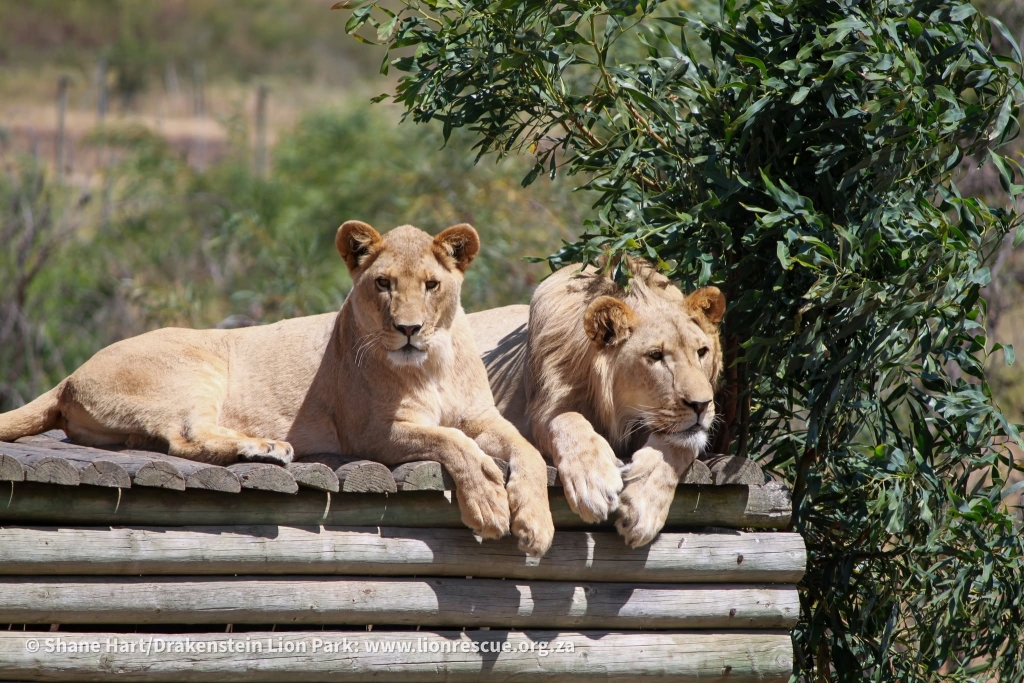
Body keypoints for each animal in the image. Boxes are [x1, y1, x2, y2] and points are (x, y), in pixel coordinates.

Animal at [0, 221, 555, 557]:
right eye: (383, 284)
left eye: (432, 285)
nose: (409, 329)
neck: (431, 364)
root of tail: (71, 374)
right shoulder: (372, 433)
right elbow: (451, 441)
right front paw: (488, 502)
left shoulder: (484, 416)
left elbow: (526, 450)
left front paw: (536, 523)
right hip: (200, 363)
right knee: (185, 437)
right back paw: (266, 447)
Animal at [469, 257, 725, 548]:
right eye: (655, 355)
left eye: (702, 351)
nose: (702, 404)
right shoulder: (539, 412)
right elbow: (568, 421)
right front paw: (593, 482)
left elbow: (677, 448)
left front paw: (643, 506)